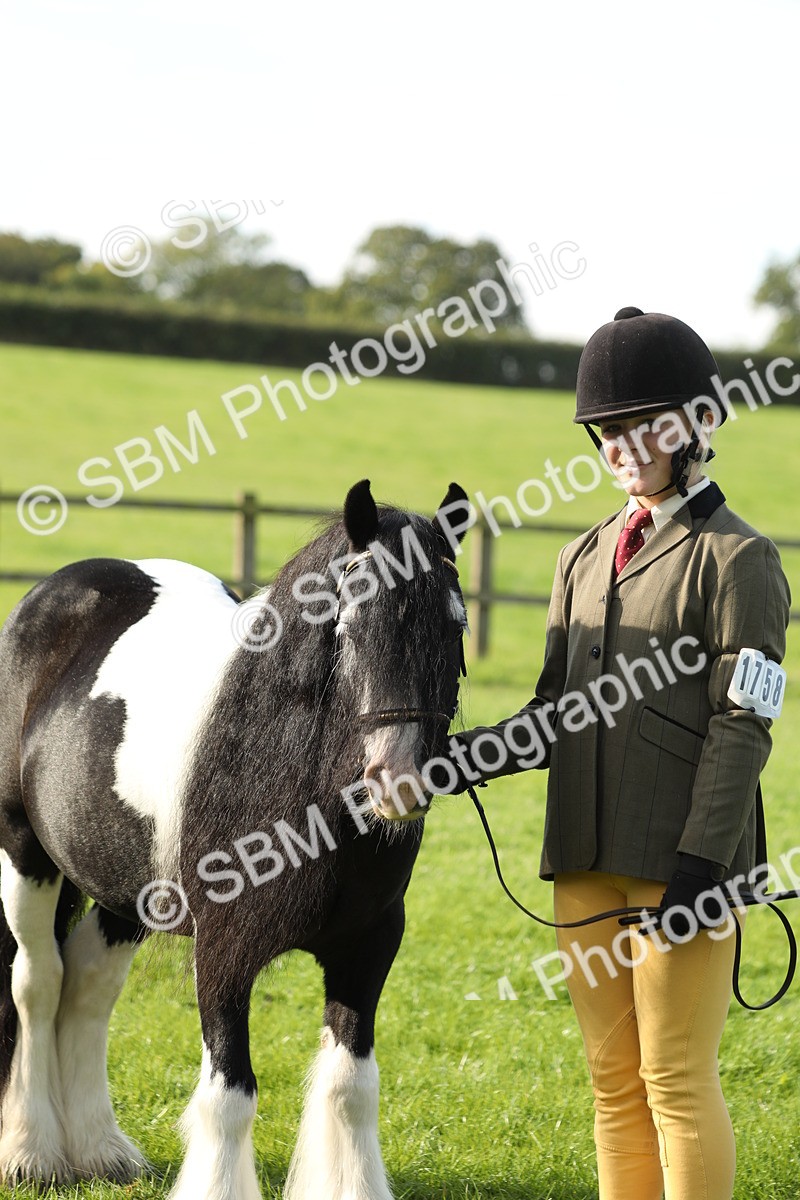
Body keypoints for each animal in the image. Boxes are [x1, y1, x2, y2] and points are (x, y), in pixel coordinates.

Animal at [0, 478, 470, 1200]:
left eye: (457, 625)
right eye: (349, 624)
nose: (398, 779)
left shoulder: (368, 947)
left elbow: (352, 1087)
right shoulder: (223, 953)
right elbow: (230, 1096)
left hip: (123, 891)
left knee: (87, 987)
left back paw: (102, 1153)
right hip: (24, 854)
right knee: (38, 981)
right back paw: (34, 1155)